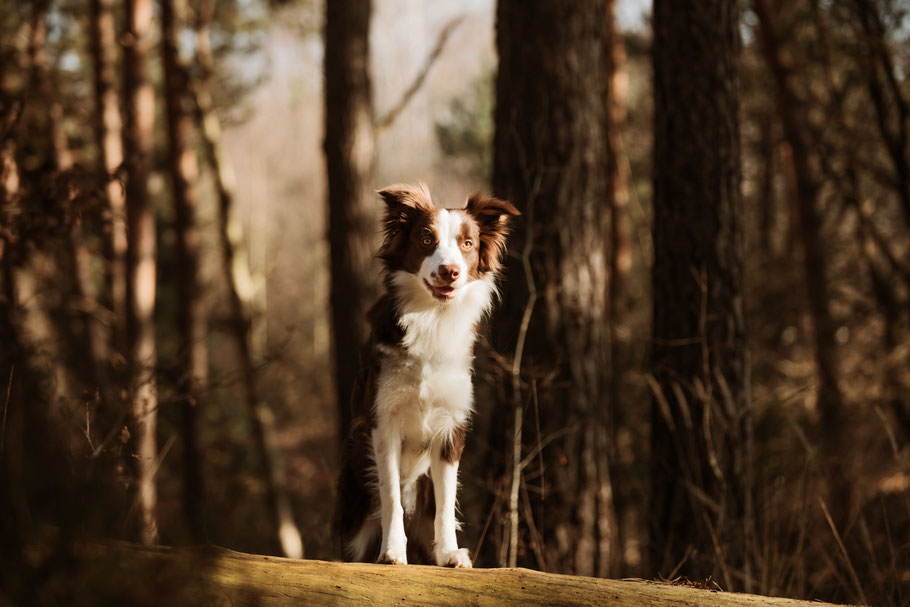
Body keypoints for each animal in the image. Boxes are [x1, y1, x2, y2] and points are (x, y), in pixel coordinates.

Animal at [338, 183, 520, 568]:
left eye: (468, 243)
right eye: (426, 239)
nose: (449, 271)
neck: (432, 319)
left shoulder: (451, 429)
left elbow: (446, 503)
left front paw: (450, 553)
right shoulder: (383, 424)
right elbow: (391, 495)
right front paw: (392, 551)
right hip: (355, 498)